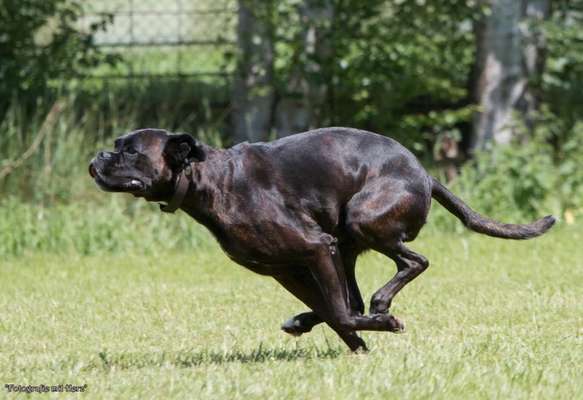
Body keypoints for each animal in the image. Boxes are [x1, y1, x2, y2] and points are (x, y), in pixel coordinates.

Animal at [89, 128, 556, 350]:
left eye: (130, 151)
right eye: (116, 145)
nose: (98, 156)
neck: (212, 179)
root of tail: (424, 174)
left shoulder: (315, 248)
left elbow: (343, 315)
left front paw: (378, 330)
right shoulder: (287, 268)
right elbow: (336, 312)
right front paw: (359, 348)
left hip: (361, 221)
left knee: (411, 264)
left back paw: (383, 306)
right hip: (344, 246)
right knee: (353, 299)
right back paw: (313, 320)